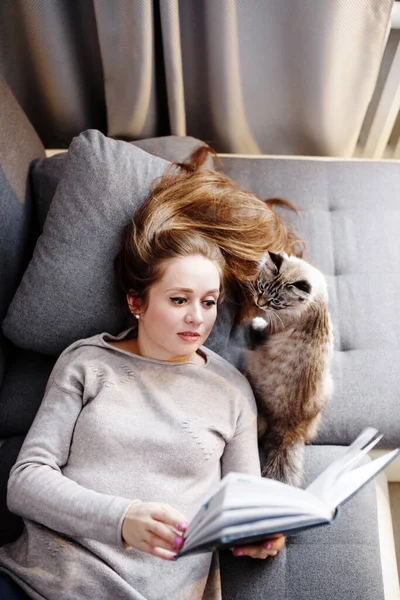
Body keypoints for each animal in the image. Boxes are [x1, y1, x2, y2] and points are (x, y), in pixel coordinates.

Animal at [244, 252, 334, 488]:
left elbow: (264, 326)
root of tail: (290, 430)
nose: (259, 303)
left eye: (276, 301)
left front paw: (255, 322)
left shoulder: (274, 325)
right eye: (262, 287)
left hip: (249, 361)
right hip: (330, 386)